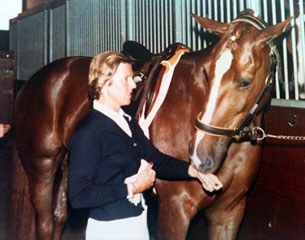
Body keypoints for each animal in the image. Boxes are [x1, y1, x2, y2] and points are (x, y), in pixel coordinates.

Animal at [13, 9, 288, 240]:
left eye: (245, 81)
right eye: (207, 74)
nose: (200, 158)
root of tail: (33, 81)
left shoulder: (229, 211)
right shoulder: (176, 211)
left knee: (59, 217)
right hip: (42, 165)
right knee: (45, 221)